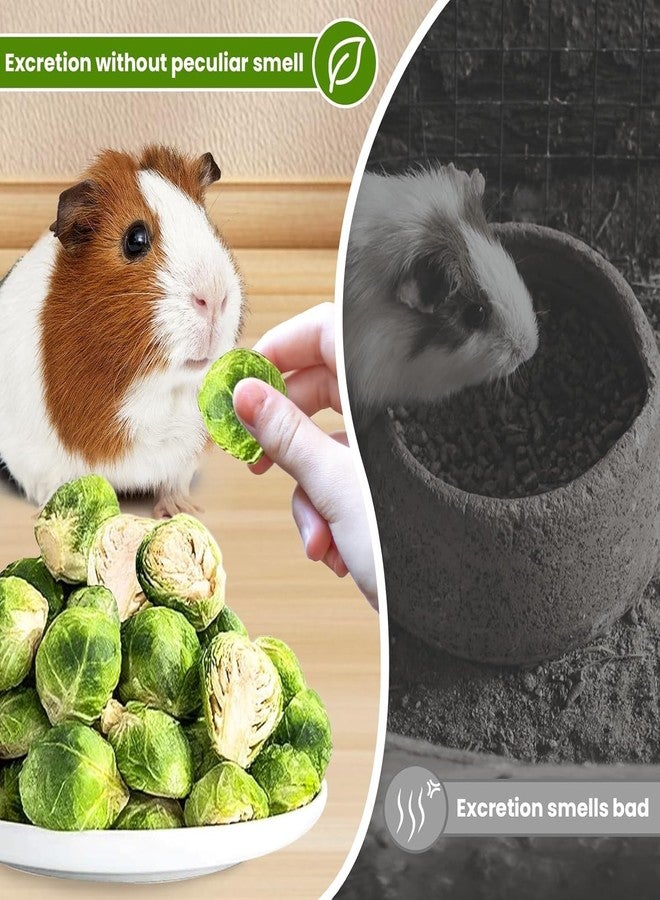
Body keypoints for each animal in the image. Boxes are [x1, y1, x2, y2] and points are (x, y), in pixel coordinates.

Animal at [0, 145, 244, 515]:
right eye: (135, 239)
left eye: (208, 224)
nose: (214, 298)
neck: (153, 393)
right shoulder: (37, 461)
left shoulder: (184, 452)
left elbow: (174, 481)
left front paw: (181, 510)